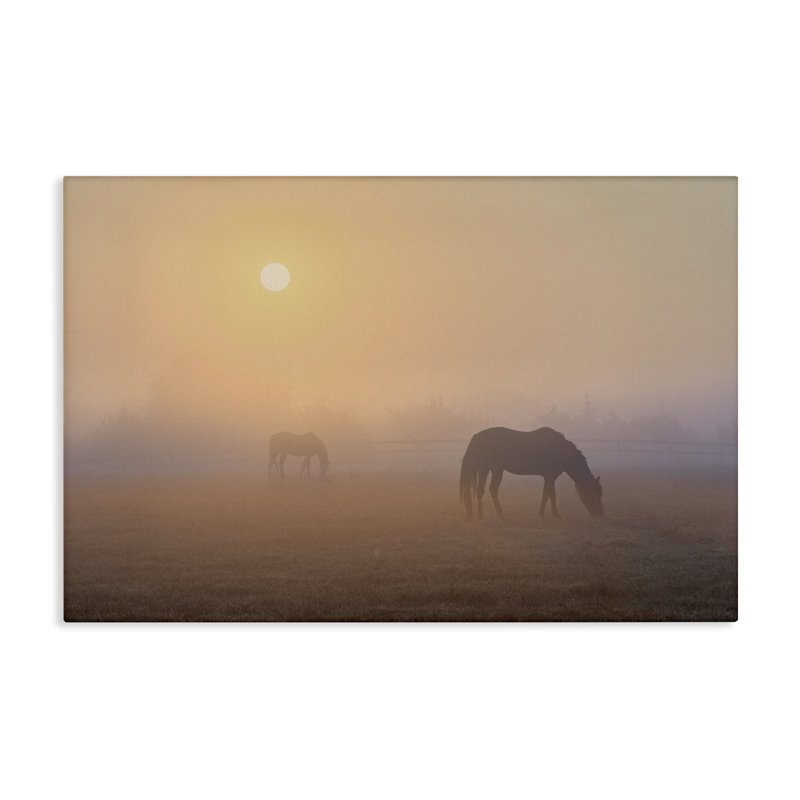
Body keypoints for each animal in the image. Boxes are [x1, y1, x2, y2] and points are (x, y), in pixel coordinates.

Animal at [459, 427, 603, 520]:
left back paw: (490, 514)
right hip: (489, 469)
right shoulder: (550, 477)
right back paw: (489, 514)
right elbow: (549, 495)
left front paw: (549, 514)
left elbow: (549, 494)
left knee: (487, 490)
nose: (599, 514)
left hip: (491, 469)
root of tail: (478, 437)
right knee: (486, 490)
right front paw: (548, 515)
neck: (559, 450)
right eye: (594, 494)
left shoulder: (549, 477)